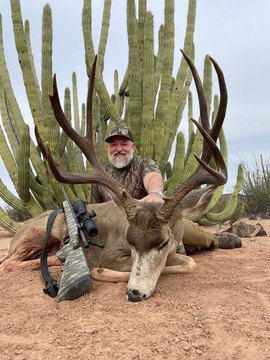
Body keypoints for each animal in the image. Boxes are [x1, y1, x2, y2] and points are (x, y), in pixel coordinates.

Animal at [0, 50, 228, 302]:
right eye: (130, 240)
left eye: (163, 241)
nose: (134, 293)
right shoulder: (111, 255)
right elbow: (182, 262)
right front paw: (98, 270)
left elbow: (187, 261)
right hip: (39, 234)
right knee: (9, 263)